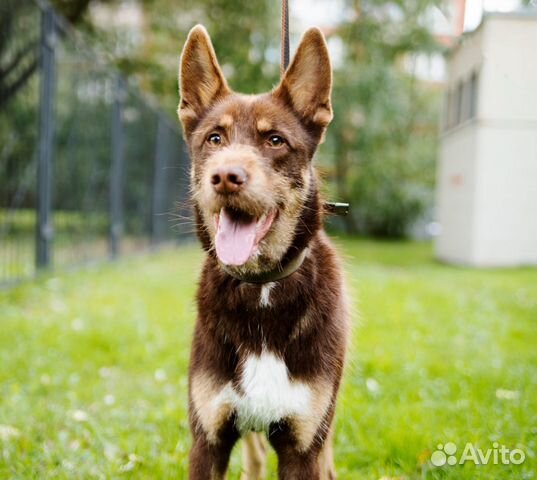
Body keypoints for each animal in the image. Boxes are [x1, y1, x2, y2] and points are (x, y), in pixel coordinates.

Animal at [178, 23, 350, 480]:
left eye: (275, 140)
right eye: (214, 138)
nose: (226, 176)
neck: (261, 290)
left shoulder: (303, 446)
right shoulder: (208, 440)